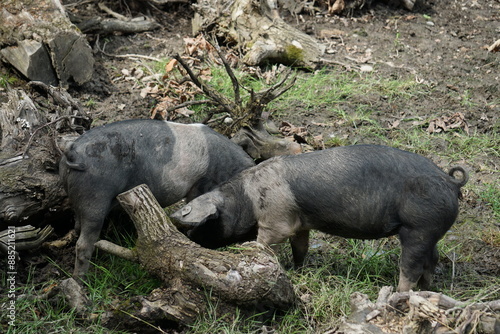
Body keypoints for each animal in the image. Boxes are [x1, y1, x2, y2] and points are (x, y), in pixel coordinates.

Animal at [61, 118, 256, 278]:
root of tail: (73, 153)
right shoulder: (200, 185)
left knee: (78, 227)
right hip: (95, 197)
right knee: (83, 243)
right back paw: (80, 281)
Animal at [173, 145, 468, 290]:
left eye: (201, 226)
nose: (189, 242)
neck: (247, 198)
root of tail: (450, 181)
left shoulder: (275, 220)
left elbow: (265, 243)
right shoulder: (300, 223)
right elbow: (300, 247)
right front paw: (297, 270)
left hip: (418, 228)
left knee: (411, 266)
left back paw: (400, 294)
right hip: (429, 232)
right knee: (432, 260)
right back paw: (427, 292)